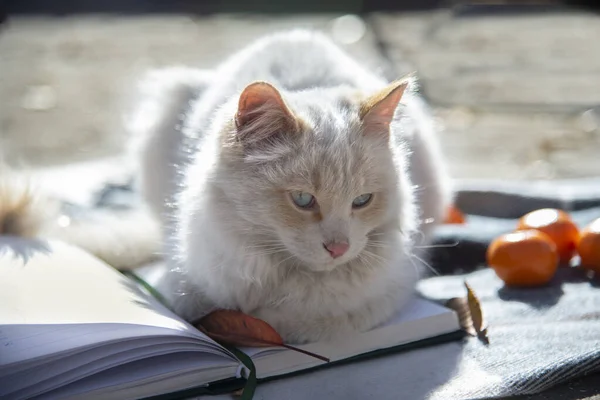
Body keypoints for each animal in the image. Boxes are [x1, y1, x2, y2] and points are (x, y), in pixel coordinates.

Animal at [131, 30, 450, 344]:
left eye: (362, 200)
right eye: (302, 199)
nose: (339, 248)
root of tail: (295, 33)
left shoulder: (388, 290)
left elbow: (296, 322)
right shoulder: (186, 281)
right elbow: (198, 304)